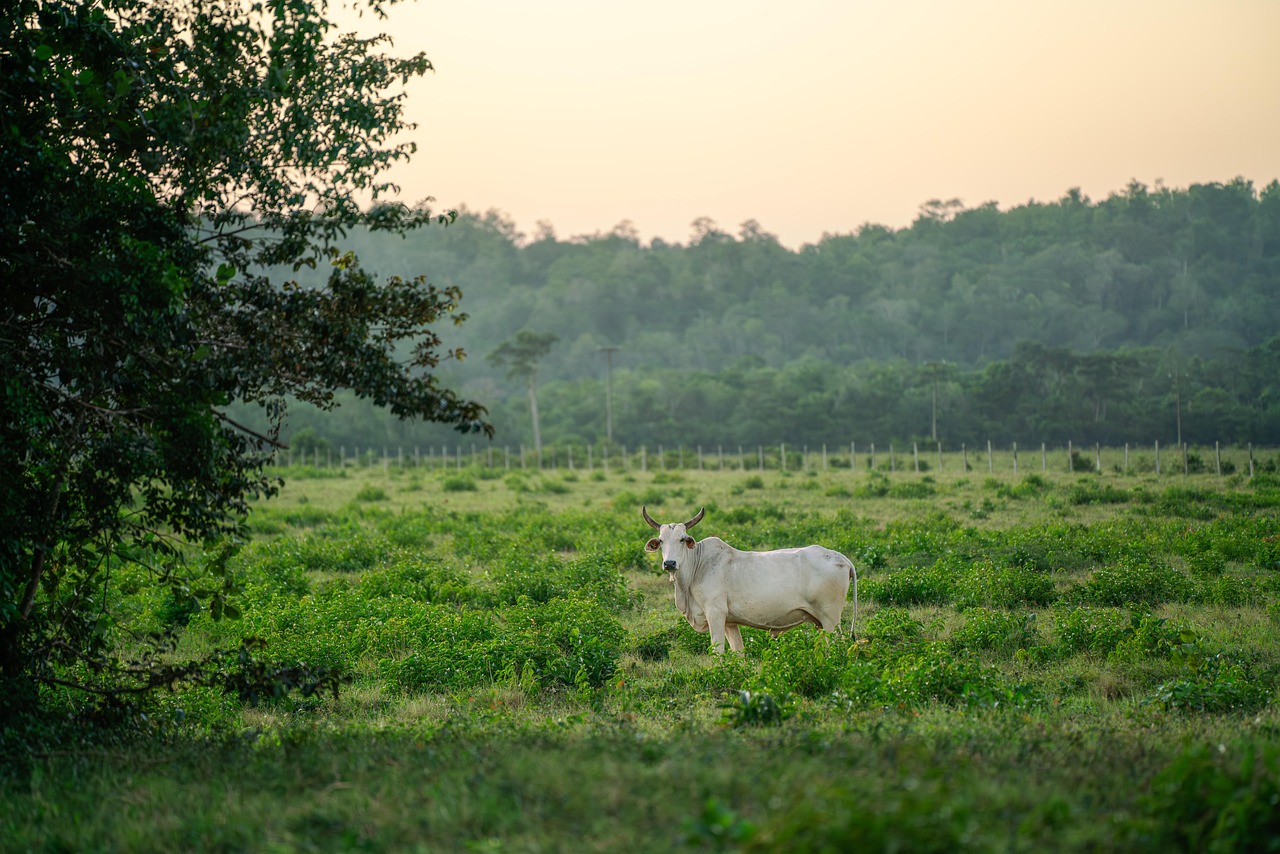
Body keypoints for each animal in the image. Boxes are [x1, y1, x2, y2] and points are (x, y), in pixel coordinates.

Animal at [642, 506, 858, 654]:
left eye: (682, 539)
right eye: (661, 541)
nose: (670, 563)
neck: (698, 566)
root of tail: (841, 558)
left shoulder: (715, 614)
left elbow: (718, 652)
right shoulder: (730, 623)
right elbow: (738, 653)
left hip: (830, 619)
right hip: (819, 622)